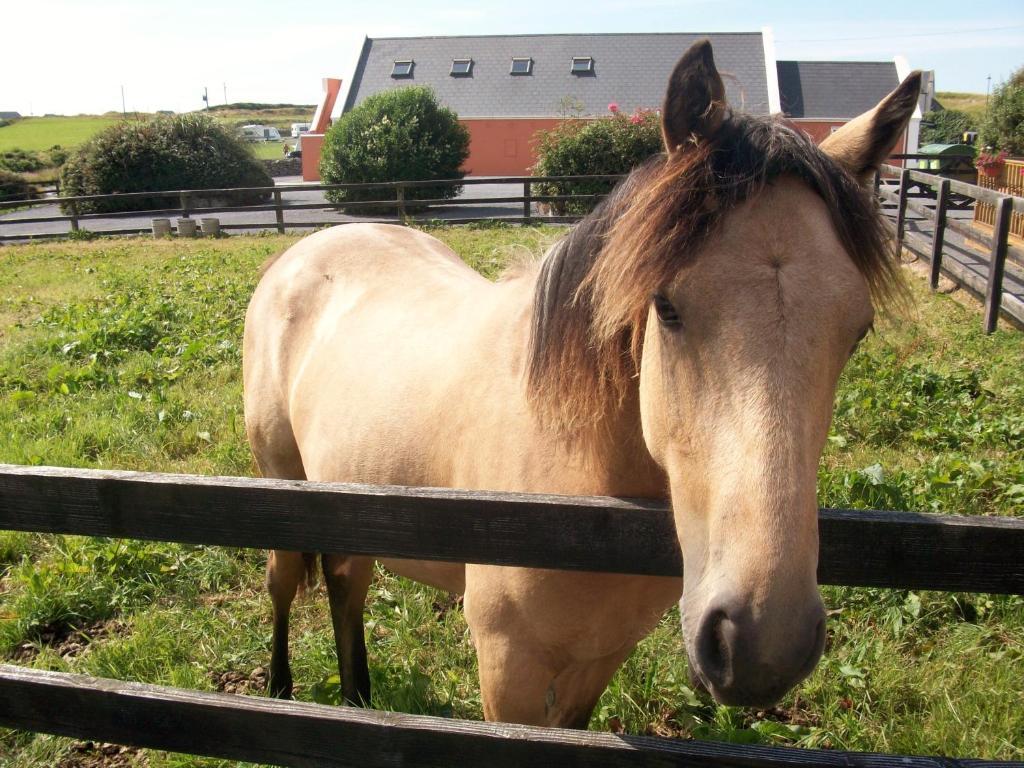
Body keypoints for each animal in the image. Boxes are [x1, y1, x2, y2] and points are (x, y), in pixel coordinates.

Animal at [243, 40, 925, 729]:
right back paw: (279, 688)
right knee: (284, 579)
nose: (762, 643)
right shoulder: (507, 670)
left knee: (346, 583)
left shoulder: (600, 657)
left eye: (858, 329)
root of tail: (313, 245)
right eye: (666, 307)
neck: (585, 499)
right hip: (281, 483)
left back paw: (357, 699)